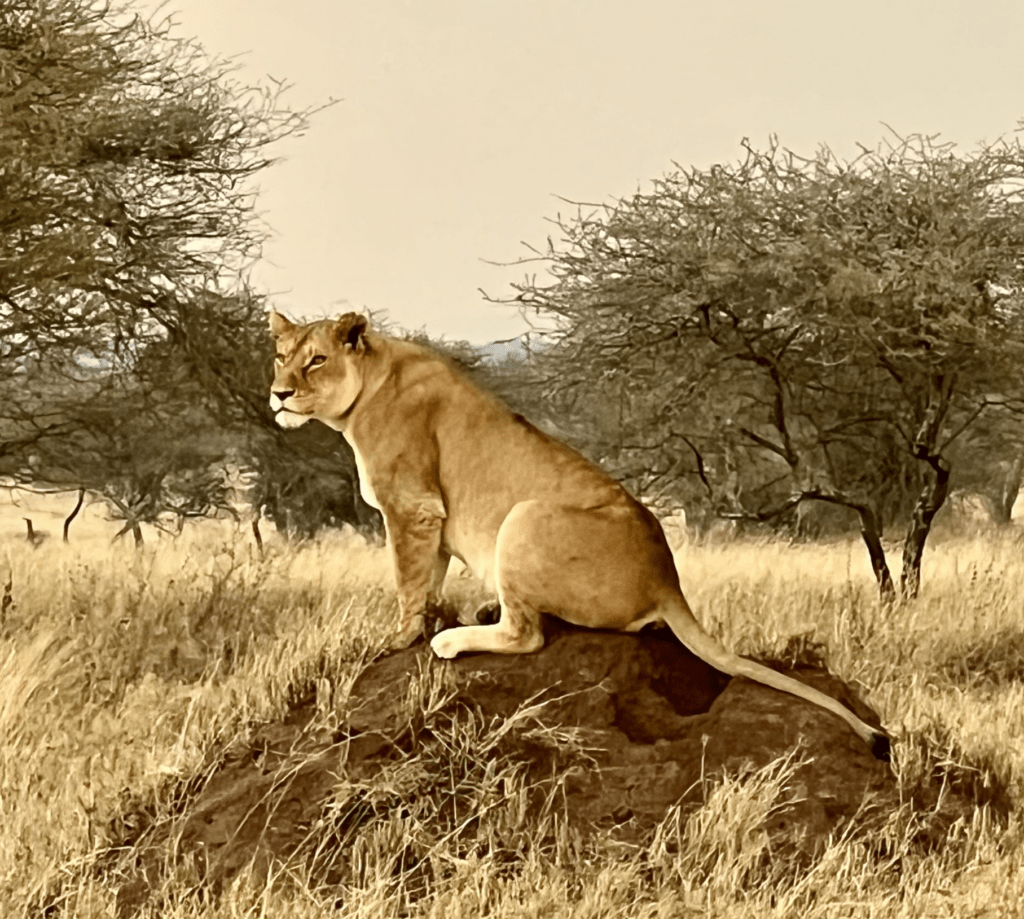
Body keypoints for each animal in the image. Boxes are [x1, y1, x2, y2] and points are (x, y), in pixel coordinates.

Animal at [268, 311, 891, 760]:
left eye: (316, 360)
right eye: (280, 356)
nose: (278, 395)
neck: (369, 383)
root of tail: (666, 578)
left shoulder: (413, 507)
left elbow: (407, 581)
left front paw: (400, 639)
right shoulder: (432, 521)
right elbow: (430, 578)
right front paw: (428, 619)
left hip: (524, 517)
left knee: (527, 635)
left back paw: (456, 641)